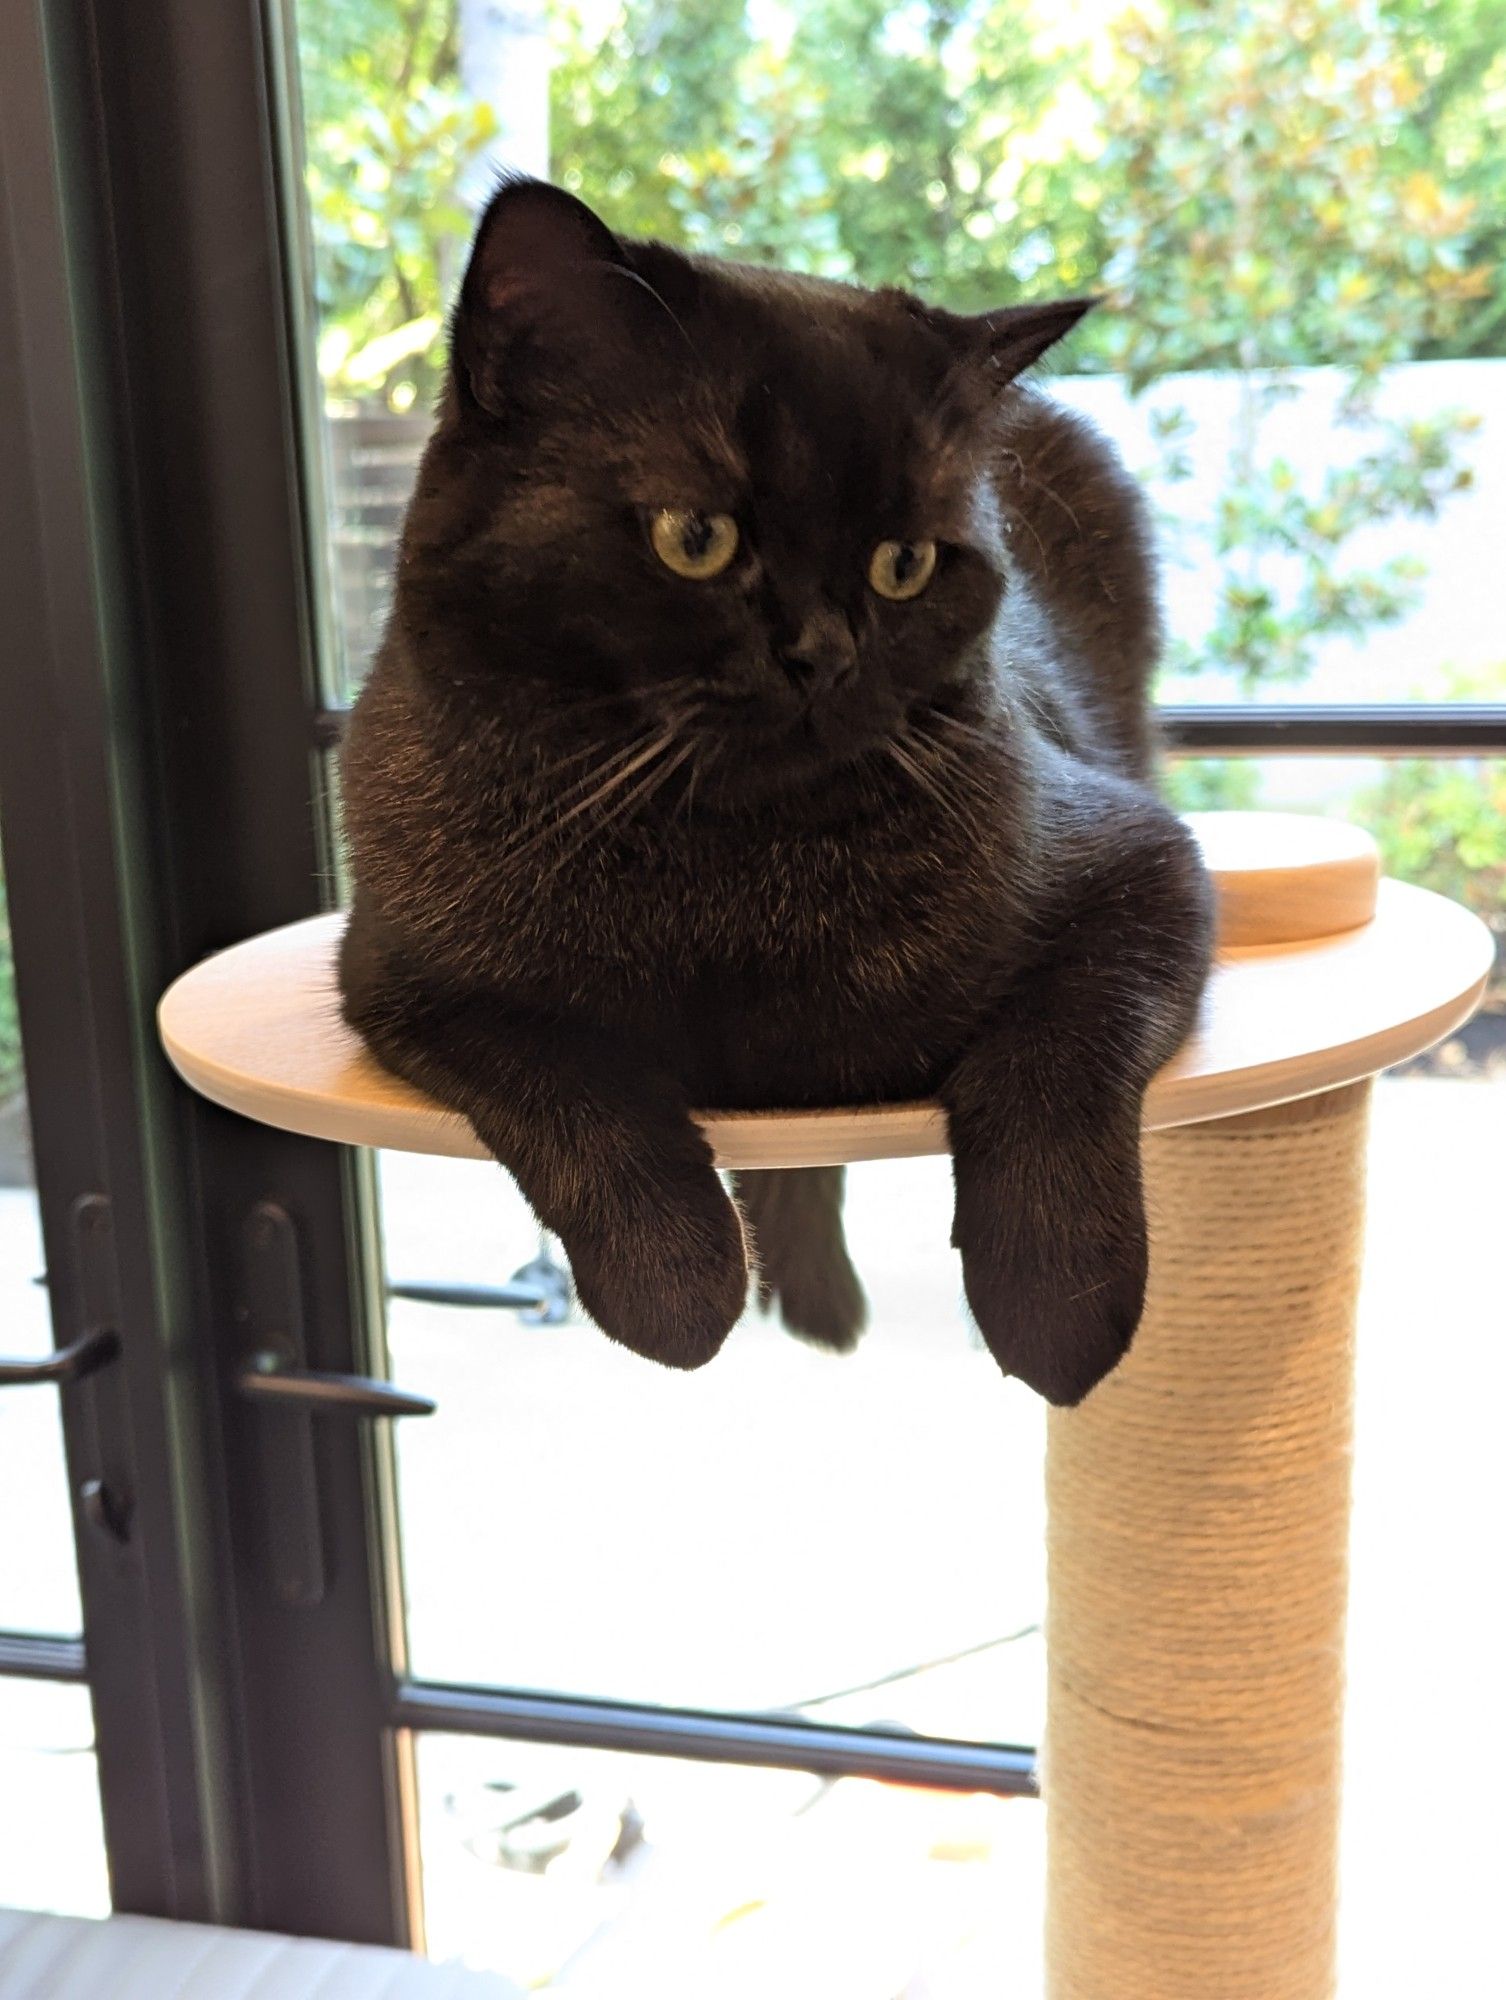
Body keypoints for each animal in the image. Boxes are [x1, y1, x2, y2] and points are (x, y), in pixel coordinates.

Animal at [340, 184, 1208, 1408]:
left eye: (906, 564)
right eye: (695, 537)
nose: (825, 656)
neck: (732, 870)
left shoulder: (1146, 862)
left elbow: (1057, 1054)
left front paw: (1055, 1301)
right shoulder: (402, 977)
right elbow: (566, 1081)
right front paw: (674, 1278)